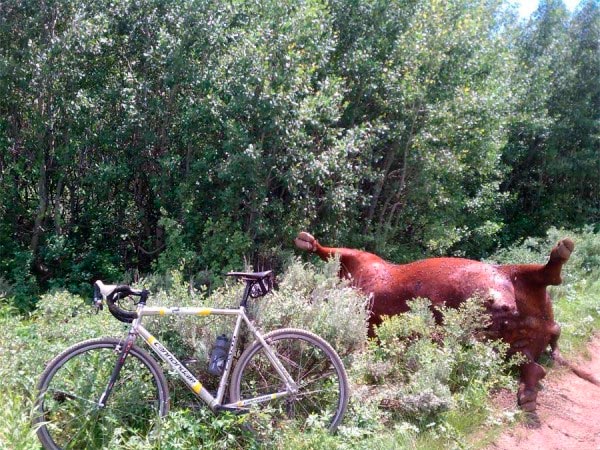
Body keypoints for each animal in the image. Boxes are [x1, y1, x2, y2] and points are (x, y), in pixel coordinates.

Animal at [292, 232, 592, 412]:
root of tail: (549, 326)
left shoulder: (365, 260)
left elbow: (337, 251)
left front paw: (303, 241)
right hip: (517, 347)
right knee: (532, 367)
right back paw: (527, 399)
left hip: (511, 275)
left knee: (544, 275)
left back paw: (561, 249)